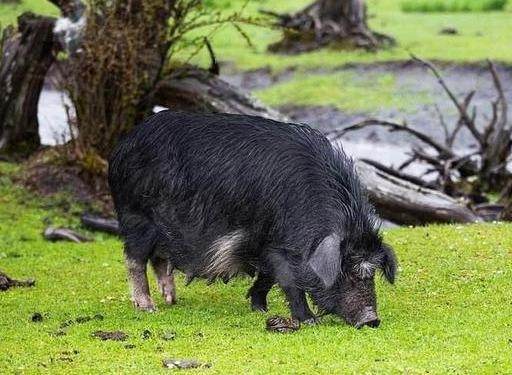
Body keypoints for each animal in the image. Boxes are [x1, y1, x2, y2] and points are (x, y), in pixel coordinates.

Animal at [107, 111, 396, 328]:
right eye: (347, 271)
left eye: (371, 273)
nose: (371, 320)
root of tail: (122, 146)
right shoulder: (279, 246)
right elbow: (289, 281)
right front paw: (309, 320)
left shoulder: (263, 242)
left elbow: (267, 277)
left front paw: (259, 308)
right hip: (136, 217)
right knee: (134, 260)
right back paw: (148, 308)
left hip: (161, 230)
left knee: (158, 260)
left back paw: (171, 300)